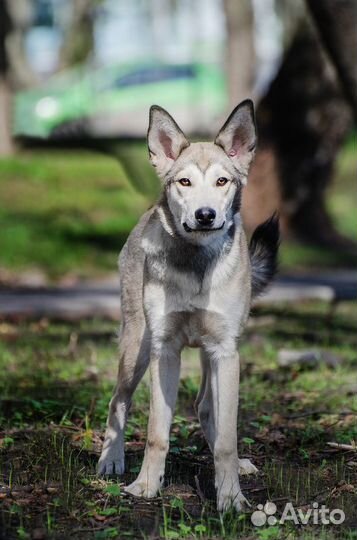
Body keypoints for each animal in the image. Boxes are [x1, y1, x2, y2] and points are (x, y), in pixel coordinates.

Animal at [97, 100, 278, 510]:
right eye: (184, 182)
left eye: (222, 182)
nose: (205, 215)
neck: (197, 263)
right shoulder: (164, 350)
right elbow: (156, 433)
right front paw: (146, 486)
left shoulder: (225, 351)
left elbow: (226, 437)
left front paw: (231, 498)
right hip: (136, 348)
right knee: (118, 401)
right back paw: (111, 460)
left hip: (214, 356)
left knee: (206, 408)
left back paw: (234, 468)